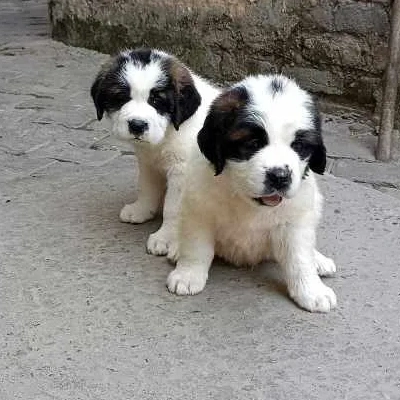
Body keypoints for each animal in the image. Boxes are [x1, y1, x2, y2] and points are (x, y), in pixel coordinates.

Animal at [90, 49, 220, 256]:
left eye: (157, 100)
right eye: (122, 98)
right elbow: (147, 188)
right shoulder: (148, 164)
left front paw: (165, 238)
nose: (137, 125)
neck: (168, 132)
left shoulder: (181, 173)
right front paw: (141, 210)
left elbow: (173, 208)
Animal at [167, 74, 340, 312]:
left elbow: (299, 257)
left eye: (298, 146)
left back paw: (319, 260)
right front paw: (188, 275)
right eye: (253, 143)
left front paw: (311, 291)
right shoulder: (199, 210)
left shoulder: (296, 219)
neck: (246, 199)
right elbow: (196, 246)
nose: (279, 176)